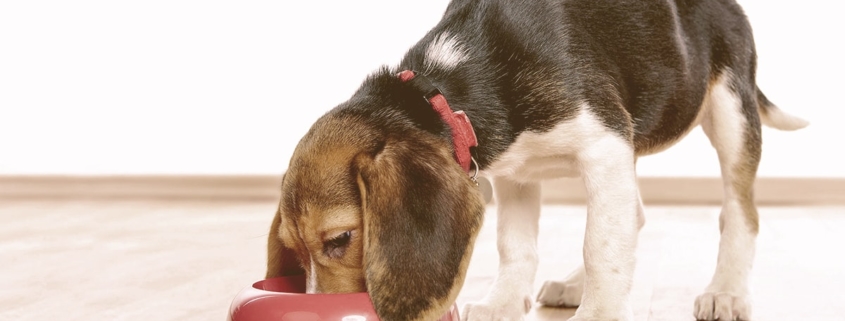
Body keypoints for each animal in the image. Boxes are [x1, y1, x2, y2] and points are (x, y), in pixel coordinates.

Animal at [266, 0, 804, 320]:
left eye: (340, 239)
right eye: (293, 251)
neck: (445, 87)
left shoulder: (604, 143)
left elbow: (601, 246)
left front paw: (599, 314)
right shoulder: (515, 175)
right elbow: (516, 246)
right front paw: (503, 302)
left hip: (730, 110)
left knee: (740, 214)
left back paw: (726, 291)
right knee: (633, 214)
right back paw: (572, 286)